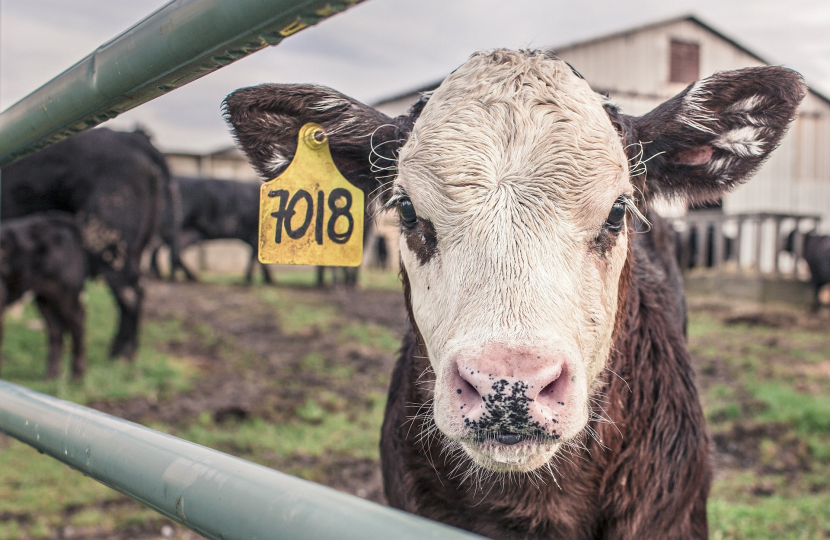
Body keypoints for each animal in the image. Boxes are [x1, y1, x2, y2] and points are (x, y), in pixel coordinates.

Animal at [0, 212, 88, 380]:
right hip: (44, 297)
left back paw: (76, 375)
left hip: (65, 292)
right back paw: (51, 375)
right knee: (55, 330)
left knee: (77, 322)